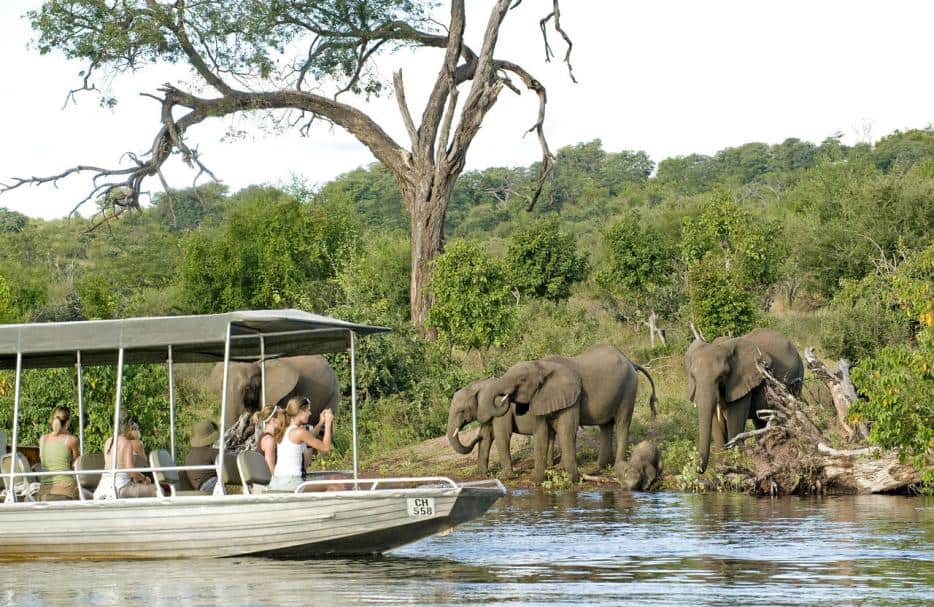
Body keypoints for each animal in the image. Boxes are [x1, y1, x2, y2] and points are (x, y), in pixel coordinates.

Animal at [480, 344, 658, 484]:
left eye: (522, 379)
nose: (506, 398)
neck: (541, 365)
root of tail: (630, 361)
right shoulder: (543, 396)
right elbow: (541, 434)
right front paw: (537, 483)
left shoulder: (573, 397)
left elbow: (566, 430)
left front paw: (573, 480)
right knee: (606, 426)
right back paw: (599, 467)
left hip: (629, 388)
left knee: (622, 423)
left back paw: (616, 468)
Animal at [685, 328, 804, 473]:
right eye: (692, 376)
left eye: (721, 376)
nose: (698, 469)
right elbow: (715, 425)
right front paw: (723, 469)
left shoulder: (742, 381)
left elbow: (735, 423)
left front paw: (737, 466)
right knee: (761, 422)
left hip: (796, 380)